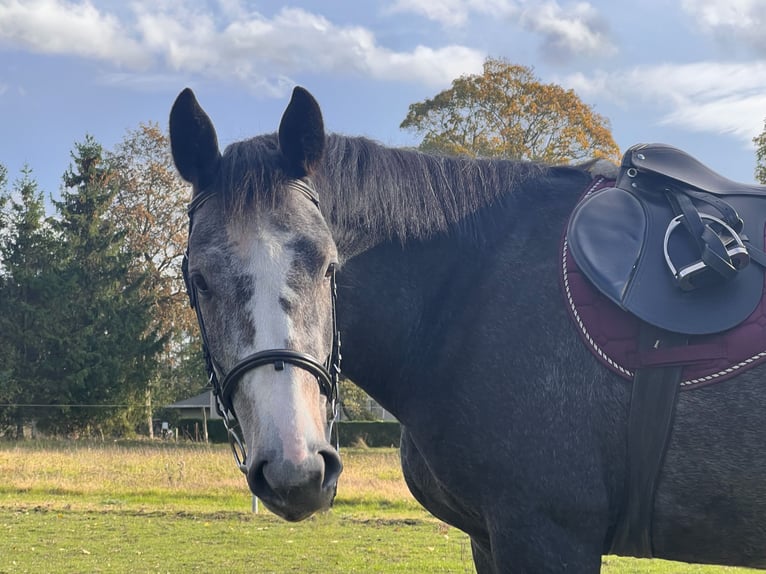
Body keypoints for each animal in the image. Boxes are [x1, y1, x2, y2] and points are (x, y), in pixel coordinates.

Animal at [169, 86, 766, 572]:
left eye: (328, 266)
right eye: (198, 279)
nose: (296, 470)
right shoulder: (490, 538)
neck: (471, 287)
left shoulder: (547, 534)